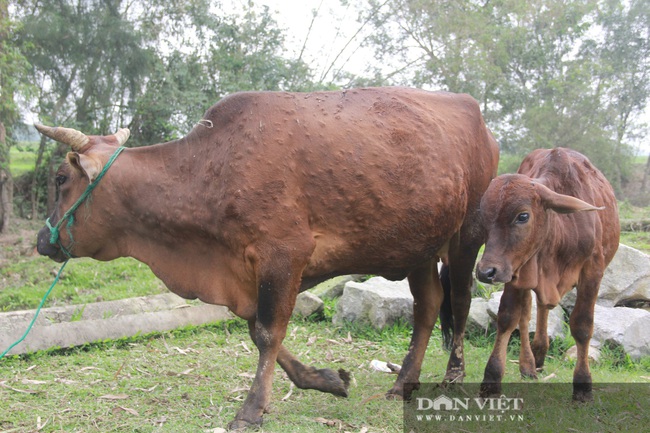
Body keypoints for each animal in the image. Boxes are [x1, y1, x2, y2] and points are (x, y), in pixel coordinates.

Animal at [35, 86, 498, 426]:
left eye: (59, 178)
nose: (42, 240)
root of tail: (476, 115)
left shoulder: (284, 255)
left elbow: (266, 333)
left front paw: (251, 409)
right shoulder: (245, 273)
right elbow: (257, 327)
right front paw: (327, 379)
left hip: (466, 237)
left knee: (459, 301)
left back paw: (453, 376)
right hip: (419, 246)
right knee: (428, 306)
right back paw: (403, 383)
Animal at [476, 148, 616, 402]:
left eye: (523, 216)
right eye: (483, 216)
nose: (486, 271)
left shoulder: (593, 272)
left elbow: (582, 326)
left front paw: (583, 385)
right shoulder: (513, 271)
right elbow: (508, 318)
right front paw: (491, 379)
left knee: (542, 308)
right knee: (527, 315)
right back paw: (530, 364)